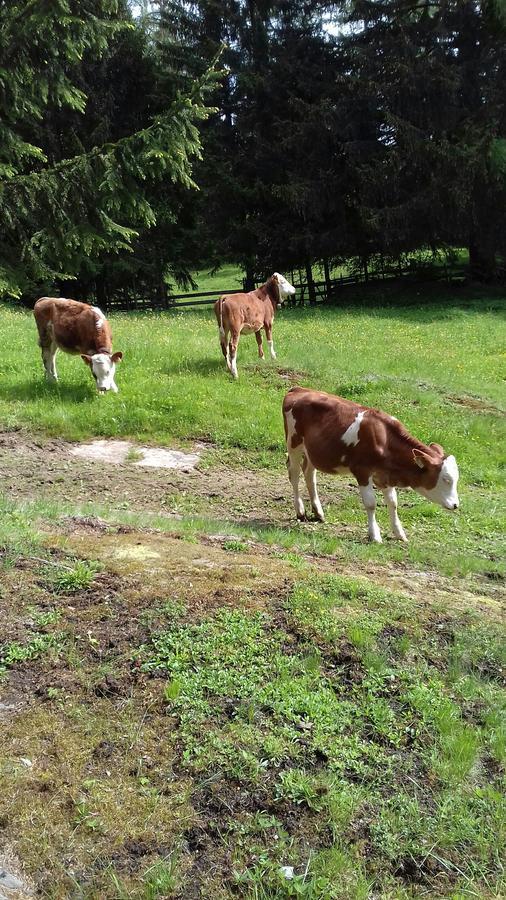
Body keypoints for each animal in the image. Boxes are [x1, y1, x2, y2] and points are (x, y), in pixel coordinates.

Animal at [282, 384, 460, 540]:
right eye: (446, 479)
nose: (456, 505)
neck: (385, 440)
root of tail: (299, 389)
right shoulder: (362, 471)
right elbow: (371, 503)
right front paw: (374, 535)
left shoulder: (384, 474)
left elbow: (393, 503)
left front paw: (399, 533)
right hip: (294, 443)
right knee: (295, 474)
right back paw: (300, 511)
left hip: (313, 451)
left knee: (309, 474)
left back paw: (318, 512)